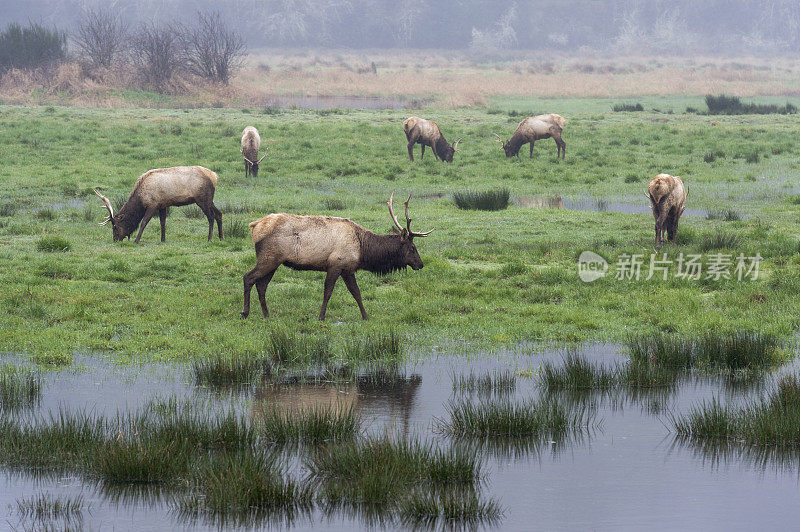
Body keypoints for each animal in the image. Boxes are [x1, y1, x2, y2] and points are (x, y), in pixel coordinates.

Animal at [94, 165, 222, 244]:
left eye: (115, 226)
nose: (115, 239)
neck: (141, 198)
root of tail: (214, 176)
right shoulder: (163, 205)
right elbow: (163, 222)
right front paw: (163, 239)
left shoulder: (153, 204)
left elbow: (144, 222)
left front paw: (137, 240)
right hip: (209, 200)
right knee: (219, 213)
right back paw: (221, 237)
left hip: (202, 199)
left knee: (211, 217)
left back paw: (209, 239)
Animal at [242, 191, 434, 320]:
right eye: (412, 247)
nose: (421, 264)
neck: (363, 250)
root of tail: (254, 225)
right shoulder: (336, 264)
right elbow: (328, 292)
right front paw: (321, 316)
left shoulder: (348, 269)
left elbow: (356, 293)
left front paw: (366, 316)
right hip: (269, 258)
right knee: (248, 277)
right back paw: (245, 312)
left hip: (275, 262)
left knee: (262, 285)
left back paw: (266, 314)